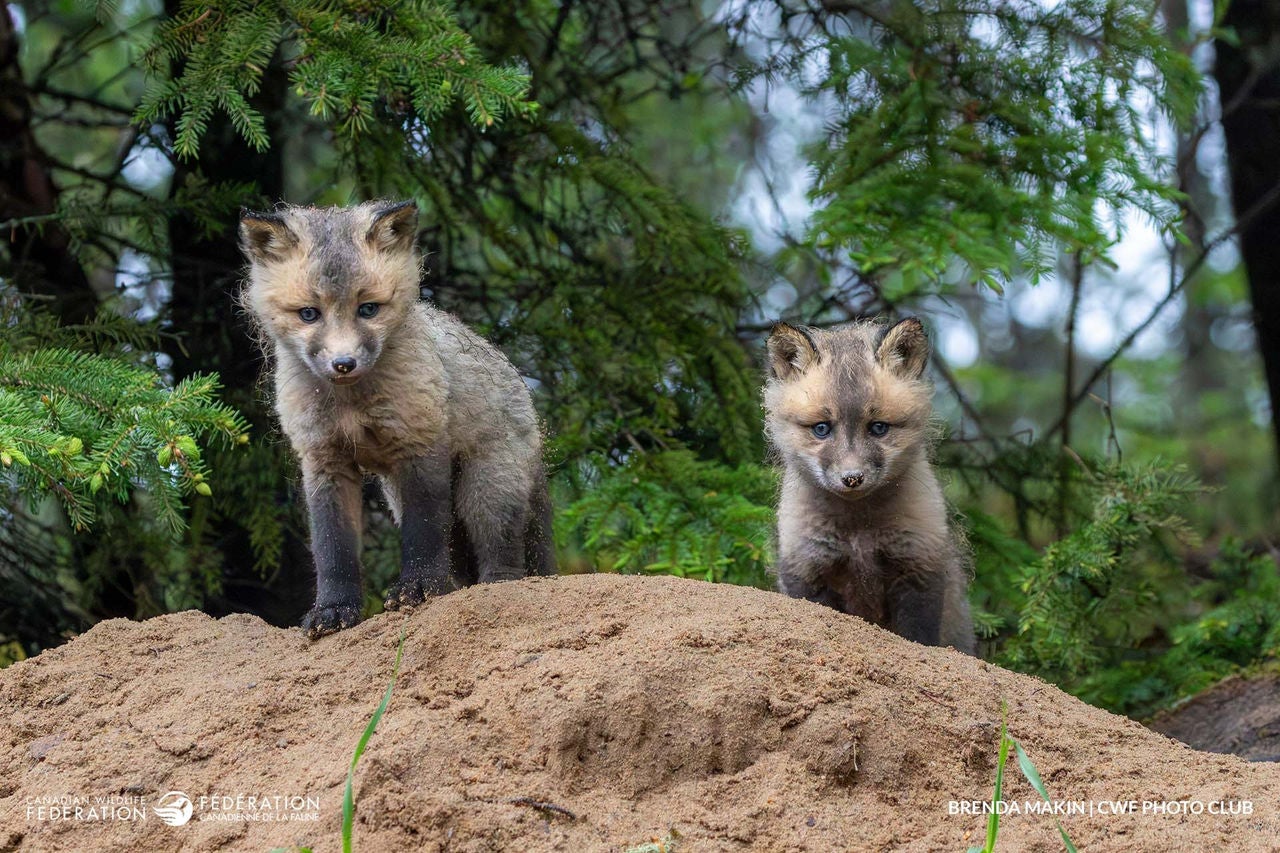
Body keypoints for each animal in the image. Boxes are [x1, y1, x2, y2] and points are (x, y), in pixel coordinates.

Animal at [239, 200, 555, 638]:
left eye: (368, 308)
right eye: (309, 314)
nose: (343, 364)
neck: (353, 404)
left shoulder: (419, 445)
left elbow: (424, 533)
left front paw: (418, 588)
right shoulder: (325, 460)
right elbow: (332, 548)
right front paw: (333, 610)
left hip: (486, 490)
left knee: (505, 555)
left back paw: (494, 587)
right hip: (405, 497)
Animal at [763, 317, 975, 654]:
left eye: (878, 428)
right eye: (821, 429)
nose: (852, 478)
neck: (858, 531)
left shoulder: (918, 564)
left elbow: (917, 636)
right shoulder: (808, 568)